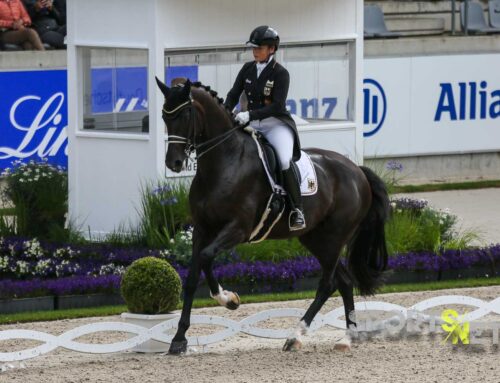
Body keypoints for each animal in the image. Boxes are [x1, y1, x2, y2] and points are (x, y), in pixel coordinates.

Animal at [156, 76, 390, 356]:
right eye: (164, 116)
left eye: (186, 113)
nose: (173, 163)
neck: (224, 162)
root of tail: (357, 171)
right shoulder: (202, 229)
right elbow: (192, 278)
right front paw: (179, 339)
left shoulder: (238, 229)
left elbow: (205, 257)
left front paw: (229, 300)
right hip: (316, 238)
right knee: (343, 281)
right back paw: (346, 338)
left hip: (335, 236)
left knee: (328, 283)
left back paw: (295, 336)